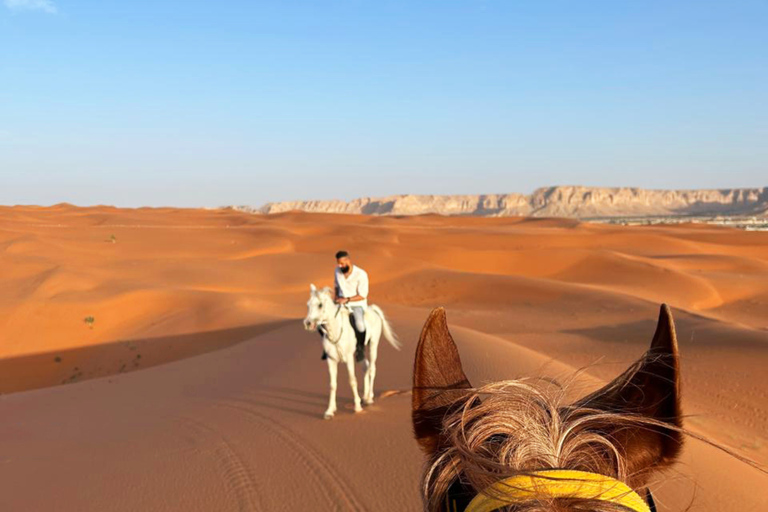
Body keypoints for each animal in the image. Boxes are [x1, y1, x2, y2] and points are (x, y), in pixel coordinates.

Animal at [303, 284, 401, 419]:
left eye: (320, 305)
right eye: (308, 304)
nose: (307, 323)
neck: (335, 330)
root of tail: (373, 309)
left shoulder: (349, 358)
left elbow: (352, 380)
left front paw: (357, 407)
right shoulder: (331, 360)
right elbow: (332, 385)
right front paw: (330, 410)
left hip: (373, 345)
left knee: (372, 369)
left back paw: (369, 398)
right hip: (360, 352)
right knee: (366, 367)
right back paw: (365, 396)